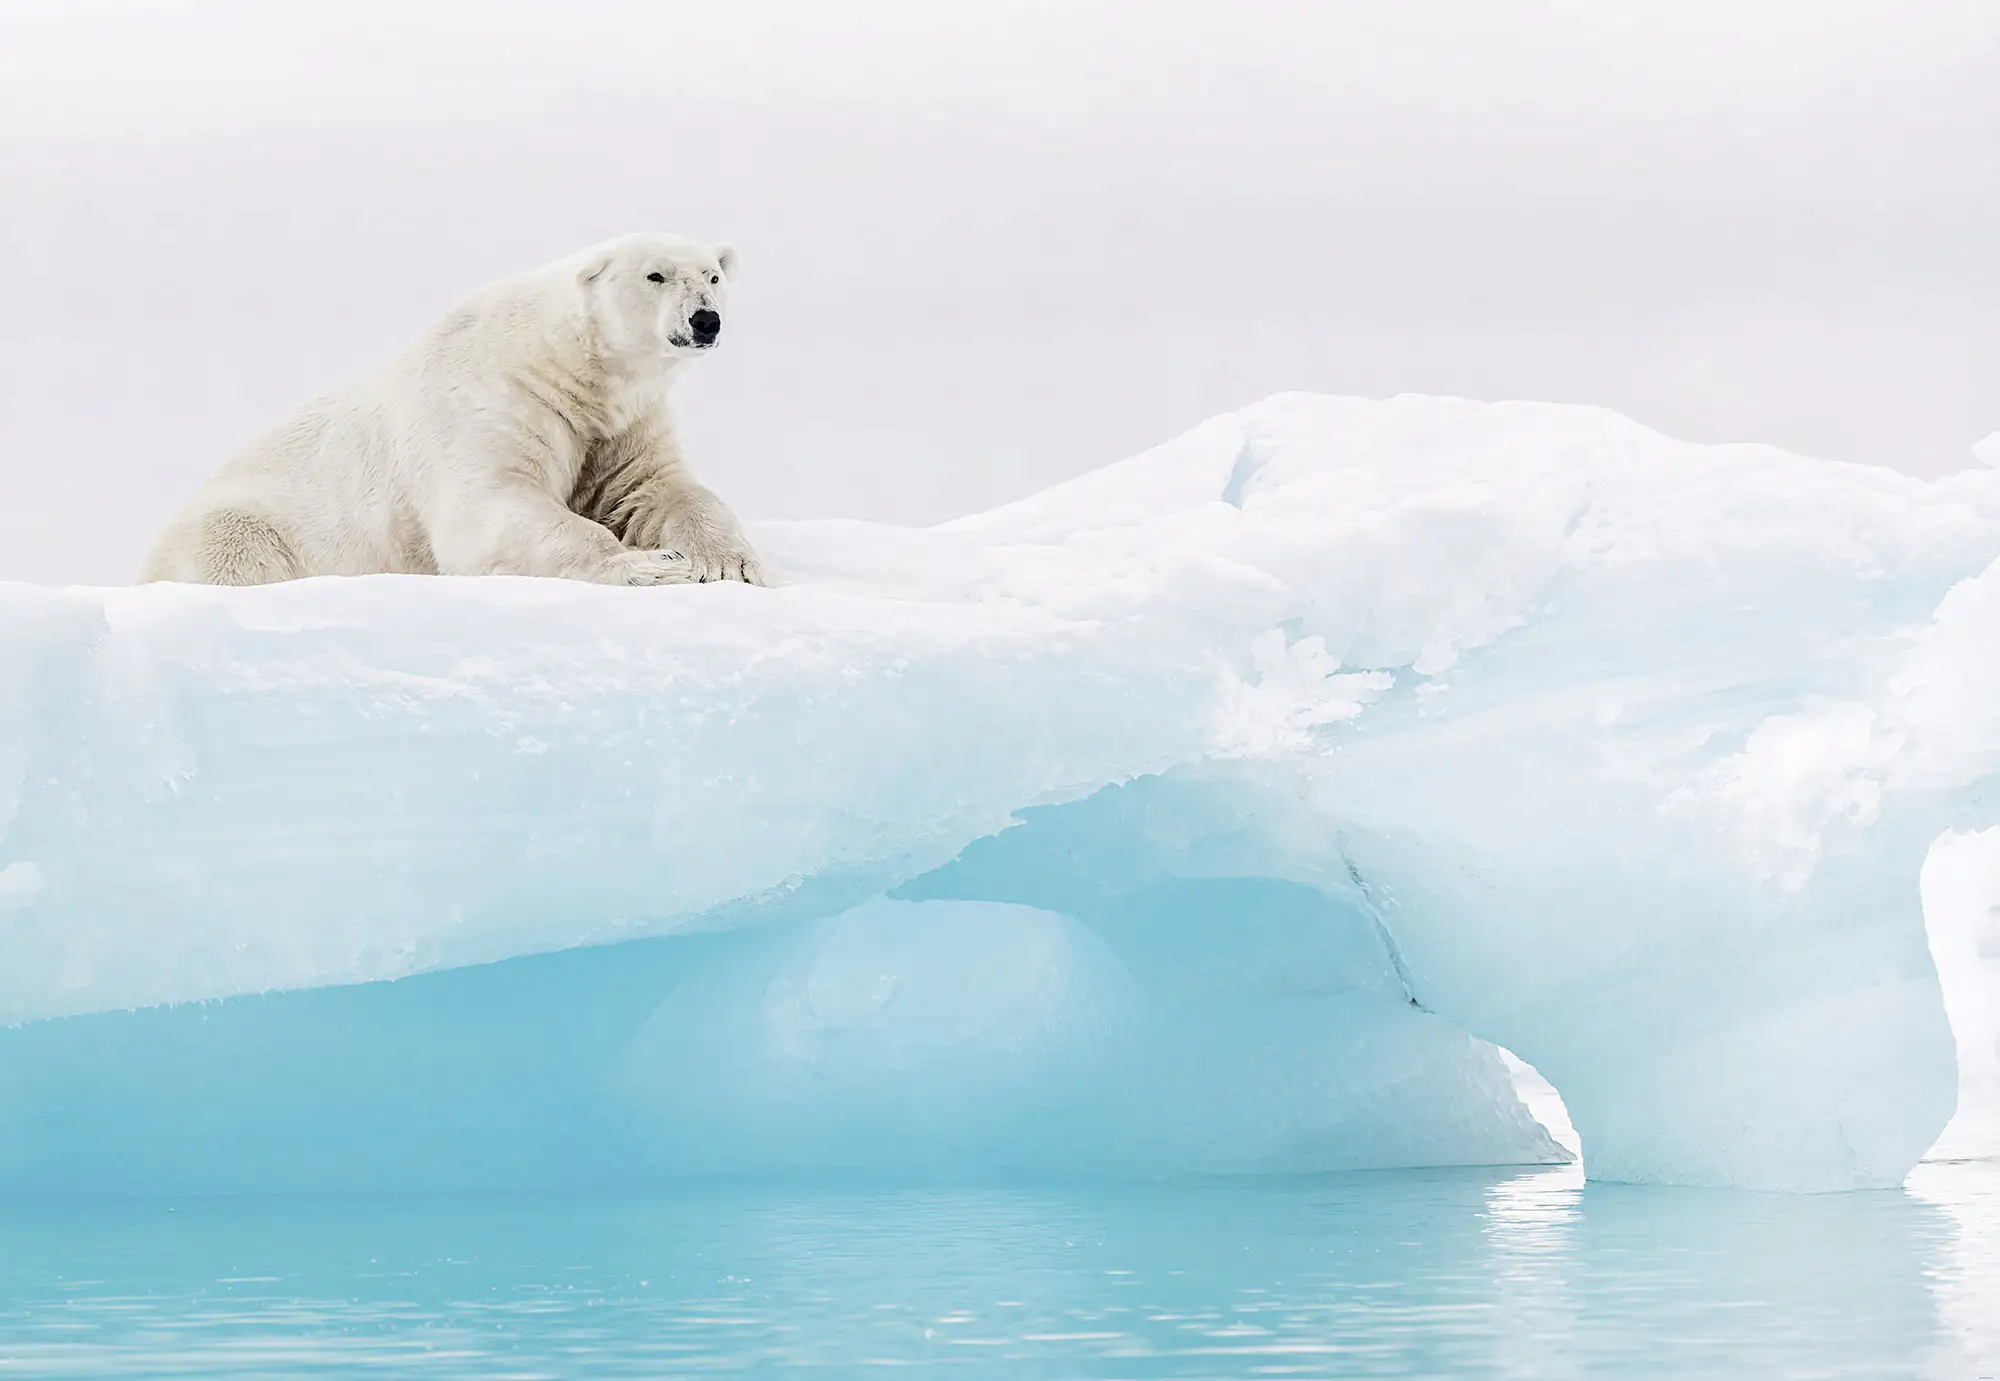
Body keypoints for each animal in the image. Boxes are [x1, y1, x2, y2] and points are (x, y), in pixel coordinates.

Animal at [139, 232, 766, 587]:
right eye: (655, 274)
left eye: (712, 275)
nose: (705, 320)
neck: (568, 368)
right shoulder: (497, 403)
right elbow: (489, 506)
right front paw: (652, 565)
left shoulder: (621, 423)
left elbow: (653, 490)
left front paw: (727, 563)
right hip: (243, 528)